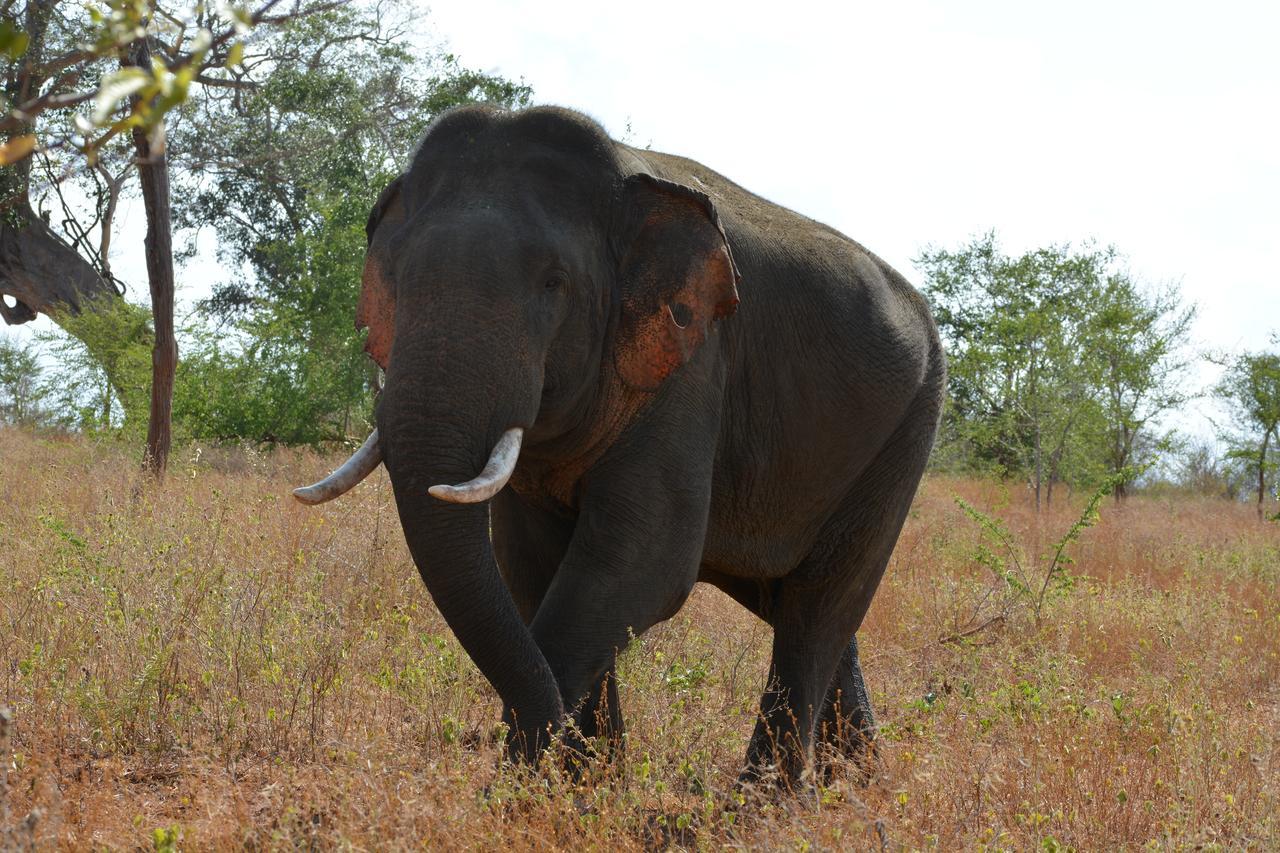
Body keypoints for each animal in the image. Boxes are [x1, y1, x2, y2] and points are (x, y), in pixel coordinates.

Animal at [294, 106, 947, 788]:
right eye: (396, 279)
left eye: (554, 283)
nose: (508, 754)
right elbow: (533, 565)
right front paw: (584, 785)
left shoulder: (691, 360)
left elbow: (641, 561)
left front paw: (539, 786)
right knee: (792, 599)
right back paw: (858, 786)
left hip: (910, 423)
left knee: (819, 607)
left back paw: (770, 800)